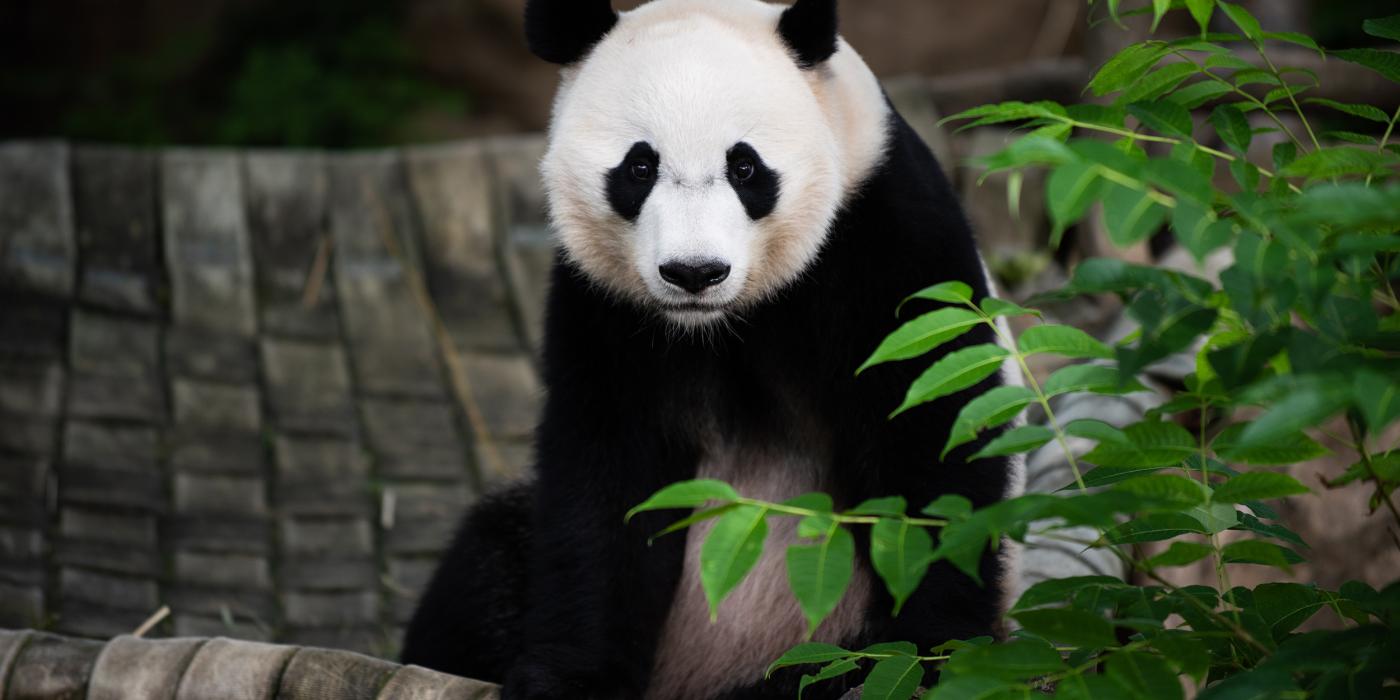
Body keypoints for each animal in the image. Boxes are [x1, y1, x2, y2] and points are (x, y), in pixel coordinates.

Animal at [400, 0, 1024, 697]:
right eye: (639, 167)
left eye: (745, 167)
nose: (694, 272)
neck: (725, 321)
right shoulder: (605, 305)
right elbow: (606, 478)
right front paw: (572, 677)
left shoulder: (885, 235)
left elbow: (931, 436)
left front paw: (919, 654)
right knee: (485, 564)